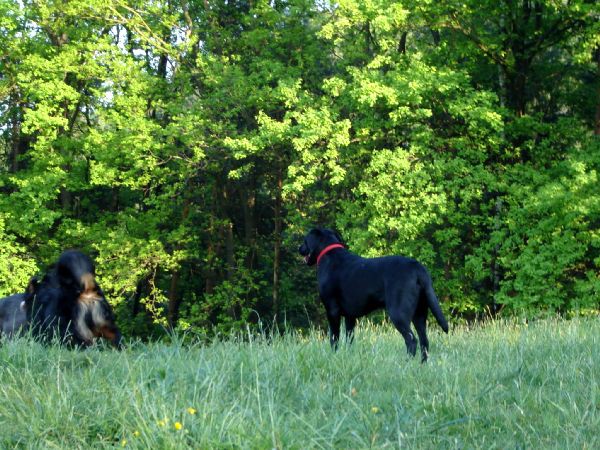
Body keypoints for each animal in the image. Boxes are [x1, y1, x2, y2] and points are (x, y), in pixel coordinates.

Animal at [298, 229, 448, 362]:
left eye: (305, 240)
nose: (299, 248)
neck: (329, 253)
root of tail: (418, 268)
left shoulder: (332, 310)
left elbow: (334, 338)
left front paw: (333, 356)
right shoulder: (350, 316)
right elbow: (349, 339)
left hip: (398, 313)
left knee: (411, 340)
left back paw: (406, 364)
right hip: (419, 314)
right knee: (424, 341)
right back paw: (421, 365)